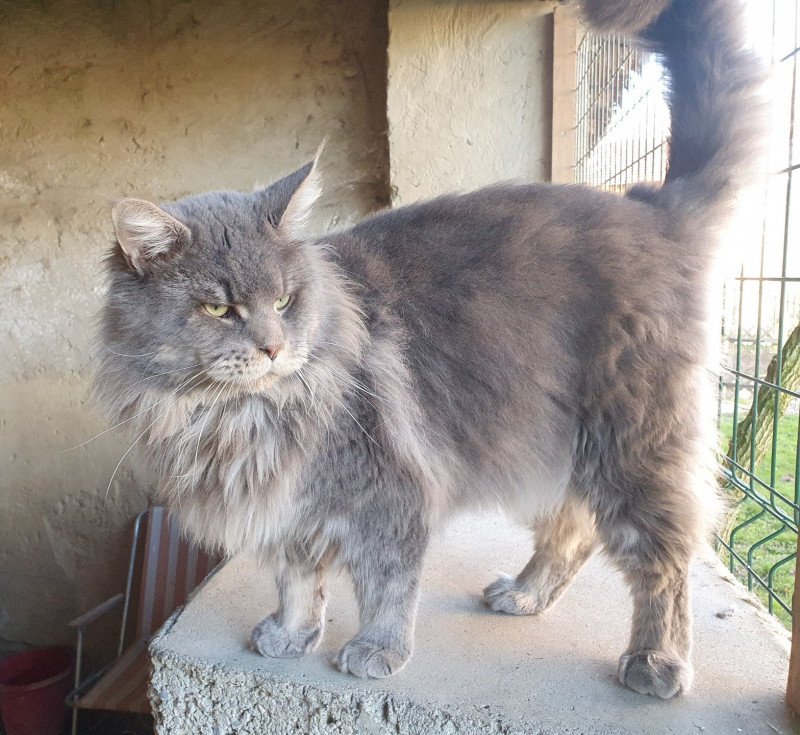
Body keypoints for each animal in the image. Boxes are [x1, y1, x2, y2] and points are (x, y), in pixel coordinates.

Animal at [94, 0, 764, 700]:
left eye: (284, 300)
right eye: (219, 309)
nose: (275, 348)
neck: (233, 417)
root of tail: (652, 207)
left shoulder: (390, 496)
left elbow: (386, 588)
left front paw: (374, 650)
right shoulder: (296, 510)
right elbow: (298, 581)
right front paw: (291, 634)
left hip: (632, 443)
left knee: (661, 556)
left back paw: (656, 661)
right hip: (566, 448)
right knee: (574, 530)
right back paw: (525, 594)